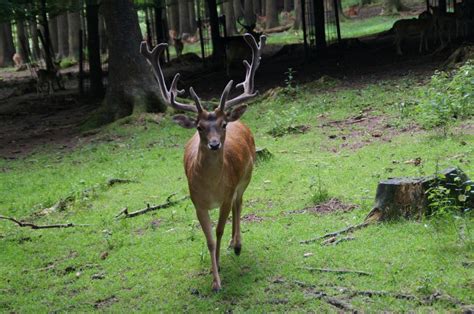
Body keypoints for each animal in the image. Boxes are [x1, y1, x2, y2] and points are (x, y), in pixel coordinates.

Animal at [141, 33, 266, 290]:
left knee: (240, 203)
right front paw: (214, 275)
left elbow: (218, 231)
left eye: (223, 124)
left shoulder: (226, 195)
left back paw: (237, 244)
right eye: (199, 127)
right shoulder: (196, 202)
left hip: (246, 178)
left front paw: (218, 273)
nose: (215, 144)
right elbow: (209, 239)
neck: (211, 189)